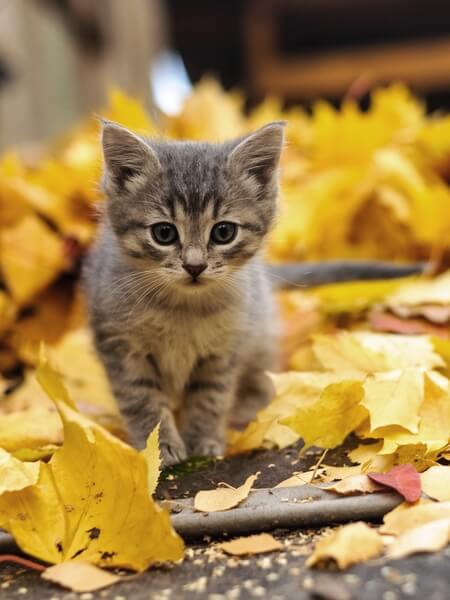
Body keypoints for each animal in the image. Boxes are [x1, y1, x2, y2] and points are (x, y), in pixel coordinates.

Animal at [84, 119, 284, 466]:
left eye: (223, 232)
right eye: (164, 233)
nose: (195, 266)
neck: (181, 310)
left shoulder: (223, 349)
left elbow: (209, 398)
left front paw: (203, 440)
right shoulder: (121, 347)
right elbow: (143, 400)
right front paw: (160, 447)